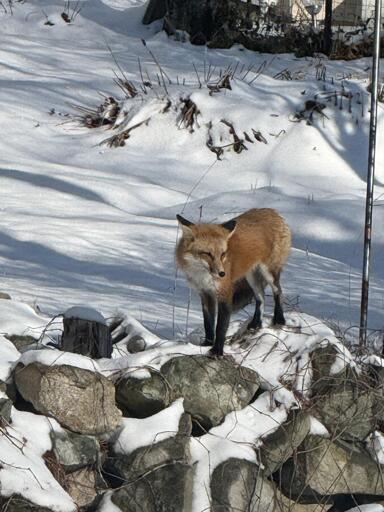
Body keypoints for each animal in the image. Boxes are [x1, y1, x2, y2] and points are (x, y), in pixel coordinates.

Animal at [176, 208, 292, 356]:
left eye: (222, 254)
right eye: (207, 254)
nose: (222, 274)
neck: (202, 275)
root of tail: (273, 211)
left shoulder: (225, 294)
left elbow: (220, 327)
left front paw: (217, 351)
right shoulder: (206, 294)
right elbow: (208, 324)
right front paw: (207, 344)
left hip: (269, 272)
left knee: (278, 291)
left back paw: (279, 319)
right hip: (251, 277)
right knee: (261, 297)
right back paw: (256, 324)